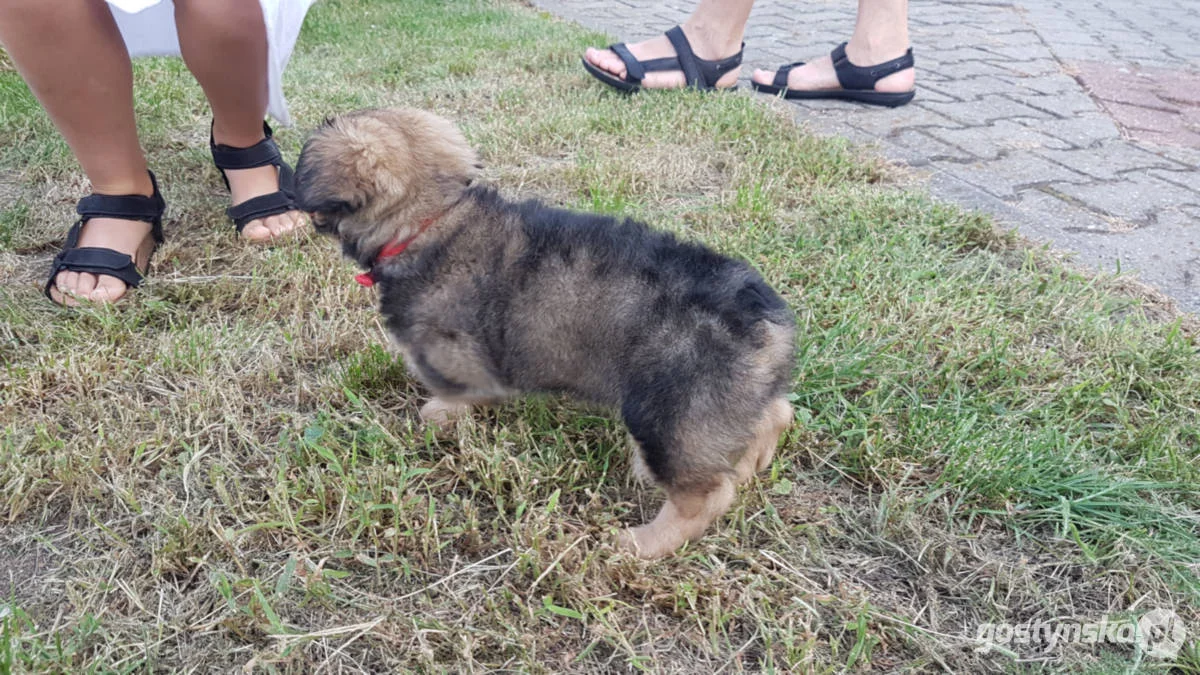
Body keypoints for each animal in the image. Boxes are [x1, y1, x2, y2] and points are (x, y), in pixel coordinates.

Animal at [294, 106, 792, 557]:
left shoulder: (452, 354)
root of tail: (768, 320)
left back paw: (642, 543)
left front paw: (436, 415)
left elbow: (456, 394)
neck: (430, 220)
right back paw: (753, 460)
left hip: (672, 418)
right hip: (726, 403)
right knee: (776, 415)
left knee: (705, 496)